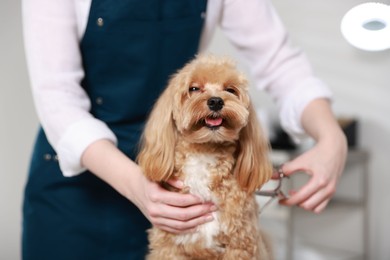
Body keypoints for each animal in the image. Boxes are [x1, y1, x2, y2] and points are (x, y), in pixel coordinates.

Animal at [139, 53, 272, 258]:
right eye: (193, 88)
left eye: (230, 90)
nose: (216, 101)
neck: (205, 153)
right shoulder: (168, 246)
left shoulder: (241, 245)